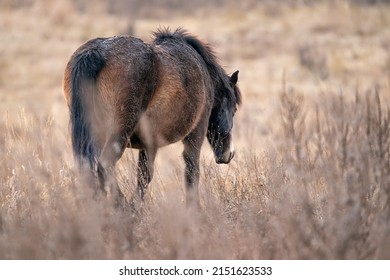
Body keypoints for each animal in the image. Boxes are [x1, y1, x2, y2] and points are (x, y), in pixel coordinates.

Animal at [62, 27, 241, 206]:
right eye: (233, 108)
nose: (229, 154)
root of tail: (95, 52)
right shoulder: (195, 134)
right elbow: (191, 171)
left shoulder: (149, 144)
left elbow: (144, 176)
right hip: (118, 133)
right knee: (105, 166)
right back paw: (122, 206)